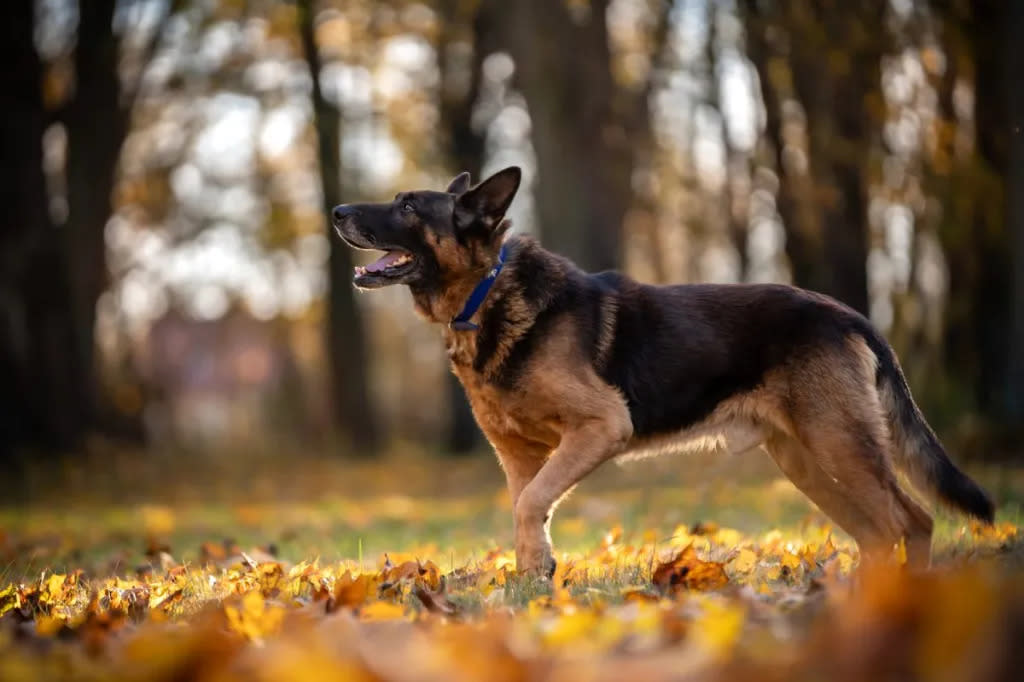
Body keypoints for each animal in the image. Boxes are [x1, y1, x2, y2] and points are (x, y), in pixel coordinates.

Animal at [333, 165, 991, 573]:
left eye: (408, 206)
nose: (337, 209)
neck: (486, 294)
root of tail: (849, 314)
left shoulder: (601, 426)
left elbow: (531, 505)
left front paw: (538, 573)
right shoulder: (519, 457)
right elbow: (527, 513)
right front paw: (532, 586)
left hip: (839, 443)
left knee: (912, 520)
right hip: (806, 459)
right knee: (880, 533)